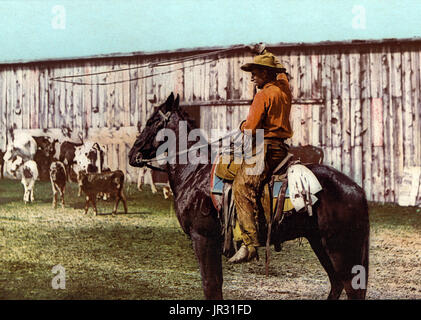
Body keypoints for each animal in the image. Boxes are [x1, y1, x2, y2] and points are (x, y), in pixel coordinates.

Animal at [128, 92, 368, 300]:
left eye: (151, 121)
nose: (132, 154)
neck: (194, 171)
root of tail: (356, 189)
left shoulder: (203, 239)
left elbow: (210, 285)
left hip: (340, 249)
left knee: (350, 288)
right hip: (320, 243)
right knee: (336, 284)